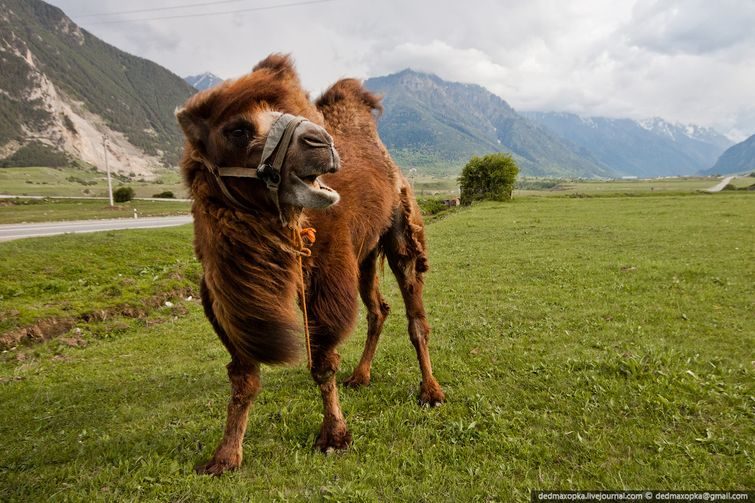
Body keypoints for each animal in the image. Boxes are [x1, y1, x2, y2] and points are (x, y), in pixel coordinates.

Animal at [174, 55, 446, 476]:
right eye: (237, 129)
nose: (321, 143)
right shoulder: (224, 298)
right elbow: (243, 376)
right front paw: (225, 455)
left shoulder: (328, 276)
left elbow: (322, 361)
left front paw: (334, 435)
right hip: (365, 254)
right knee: (378, 308)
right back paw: (361, 376)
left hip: (400, 227)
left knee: (414, 312)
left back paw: (430, 391)